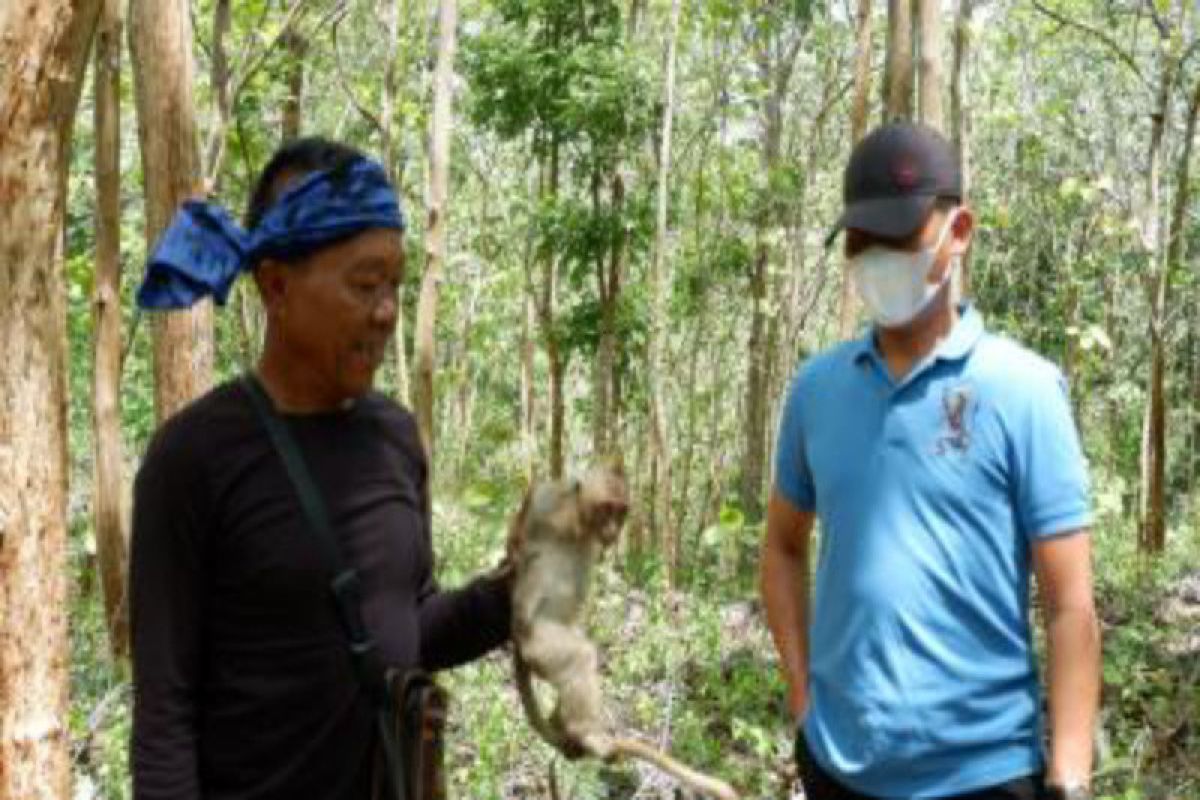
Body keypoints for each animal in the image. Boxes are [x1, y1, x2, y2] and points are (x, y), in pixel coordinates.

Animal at [508, 462, 739, 800]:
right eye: (606, 508)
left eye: (621, 511)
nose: (614, 530)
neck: (576, 524)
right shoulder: (546, 501)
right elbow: (521, 529)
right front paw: (512, 564)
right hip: (538, 644)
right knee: (578, 656)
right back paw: (585, 732)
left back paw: (562, 724)